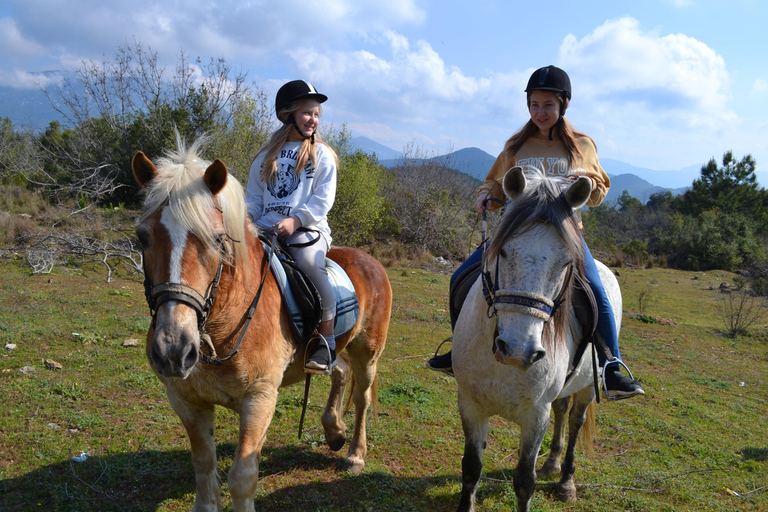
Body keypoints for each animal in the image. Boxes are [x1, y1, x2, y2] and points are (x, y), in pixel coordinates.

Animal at [131, 137, 390, 512]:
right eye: (142, 237)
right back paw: (334, 431)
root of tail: (370, 261)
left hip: (367, 353)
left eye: (218, 239)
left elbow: (242, 476)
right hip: (335, 350)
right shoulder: (186, 400)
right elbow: (204, 465)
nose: (173, 350)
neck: (222, 327)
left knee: (363, 397)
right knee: (338, 373)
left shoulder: (260, 399)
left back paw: (356, 453)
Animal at [452, 168, 620, 512]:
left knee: (575, 421)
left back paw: (566, 481)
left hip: (587, 387)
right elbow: (471, 467)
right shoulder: (471, 405)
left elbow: (524, 481)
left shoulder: (535, 417)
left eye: (566, 263)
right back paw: (552, 463)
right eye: (503, 250)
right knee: (562, 410)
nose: (519, 350)